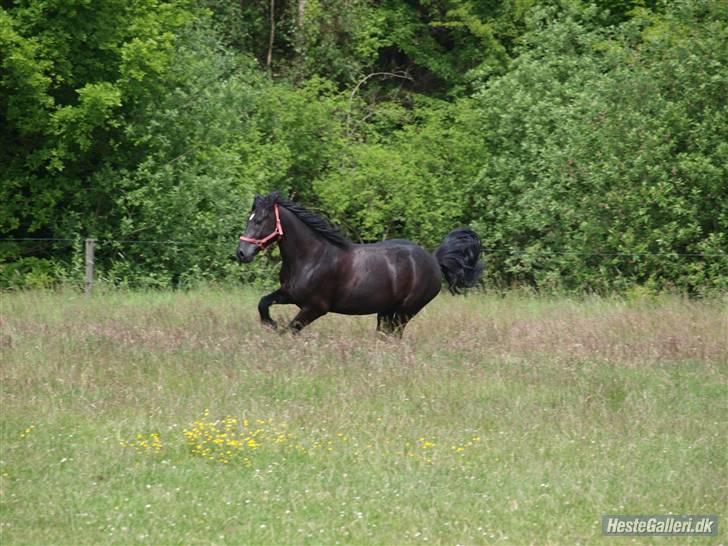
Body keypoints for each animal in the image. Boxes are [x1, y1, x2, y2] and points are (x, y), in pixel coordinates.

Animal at [235, 191, 484, 336]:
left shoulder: (315, 307)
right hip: (386, 311)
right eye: (249, 219)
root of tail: (433, 260)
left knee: (394, 335)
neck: (311, 257)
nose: (241, 253)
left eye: (259, 220)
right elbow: (263, 304)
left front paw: (276, 330)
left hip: (405, 311)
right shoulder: (289, 294)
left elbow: (291, 330)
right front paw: (270, 324)